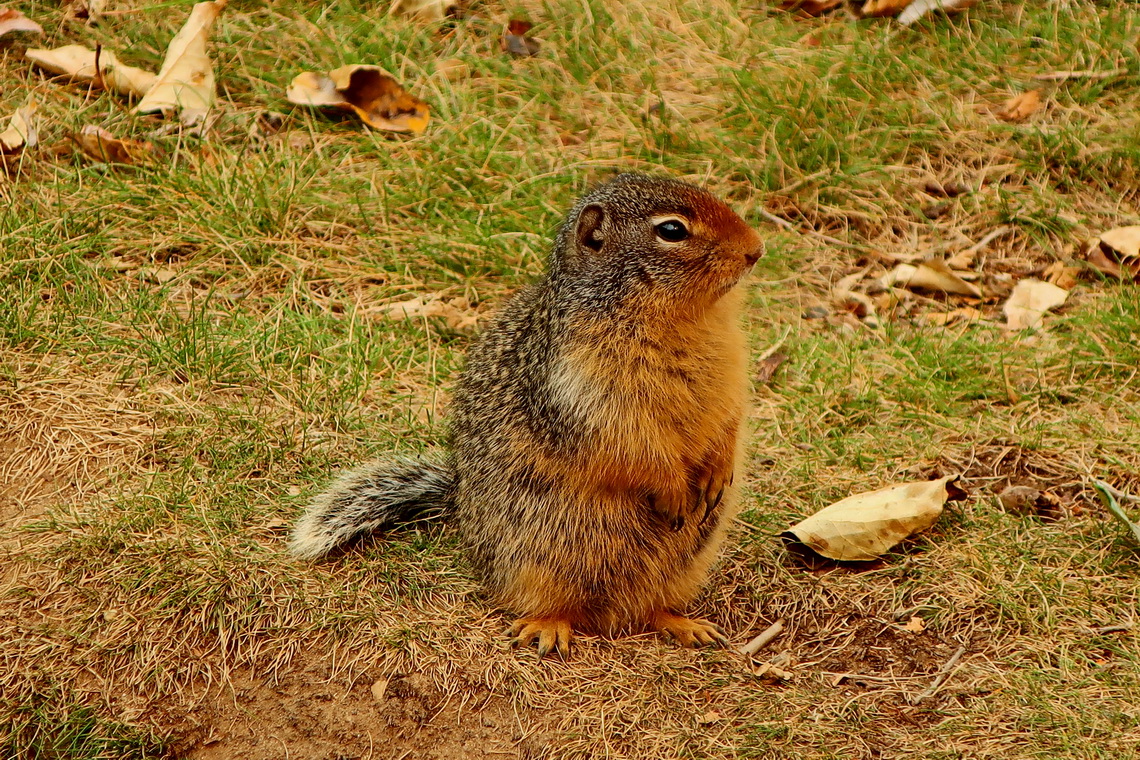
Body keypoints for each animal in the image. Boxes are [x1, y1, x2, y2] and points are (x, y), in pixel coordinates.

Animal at [289, 172, 761, 656]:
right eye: (671, 230)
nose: (756, 249)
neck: (689, 319)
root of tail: (458, 504)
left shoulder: (732, 372)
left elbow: (730, 418)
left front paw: (717, 471)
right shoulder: (586, 391)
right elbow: (634, 444)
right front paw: (673, 489)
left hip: (687, 560)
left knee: (648, 608)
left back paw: (685, 624)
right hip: (540, 553)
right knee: (548, 601)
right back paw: (548, 628)